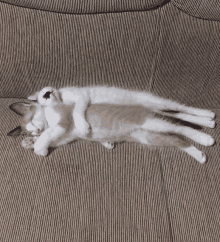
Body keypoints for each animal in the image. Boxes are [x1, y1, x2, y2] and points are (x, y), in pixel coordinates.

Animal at [27, 86, 215, 137]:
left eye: (44, 92)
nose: (48, 93)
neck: (62, 100)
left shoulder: (81, 95)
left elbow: (77, 110)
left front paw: (83, 126)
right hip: (154, 111)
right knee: (179, 115)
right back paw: (208, 122)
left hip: (157, 102)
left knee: (181, 108)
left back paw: (208, 114)